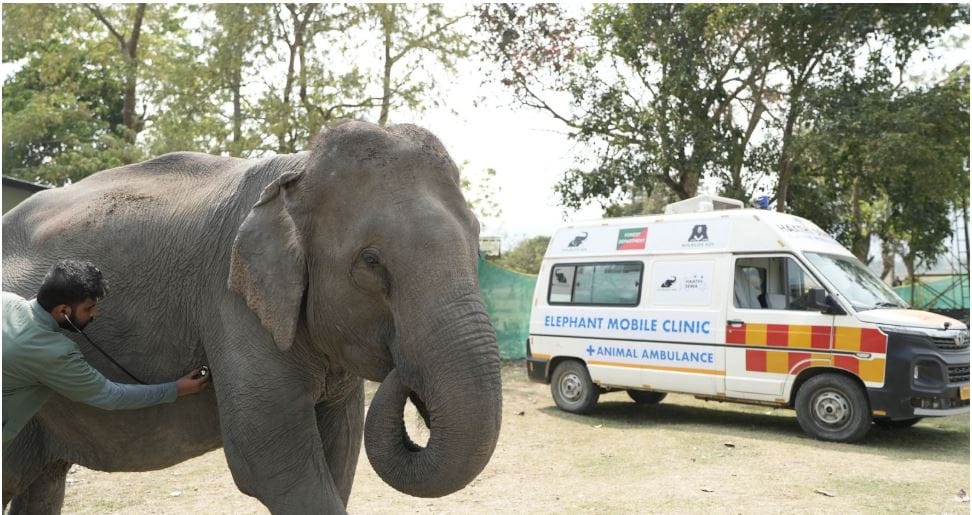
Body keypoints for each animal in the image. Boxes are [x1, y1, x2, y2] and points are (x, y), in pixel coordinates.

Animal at [1, 121, 503, 514]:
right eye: (371, 261)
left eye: (477, 239)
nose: (402, 368)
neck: (296, 171)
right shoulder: (230, 302)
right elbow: (271, 462)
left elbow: (340, 448)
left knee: (43, 483)